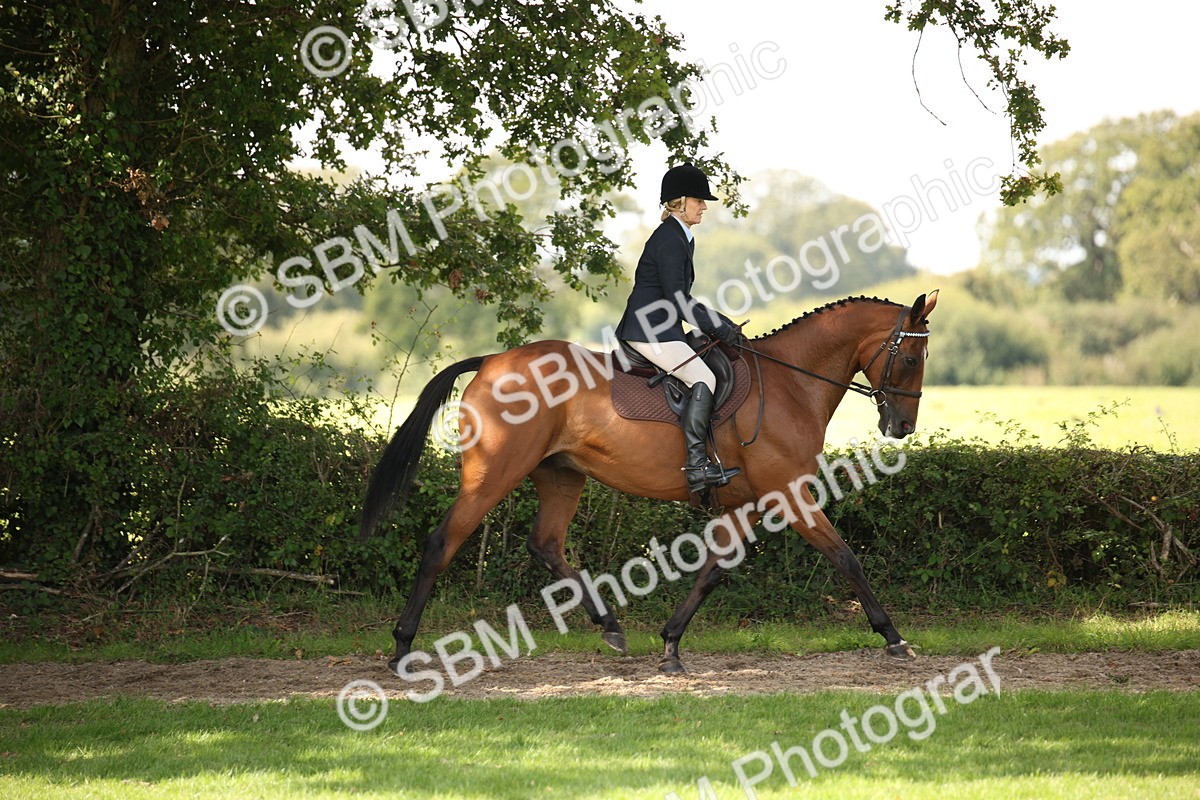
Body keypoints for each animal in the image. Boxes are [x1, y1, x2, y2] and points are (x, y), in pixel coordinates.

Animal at [360, 291, 939, 674]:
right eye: (910, 358)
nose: (902, 427)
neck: (792, 382)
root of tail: (492, 361)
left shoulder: (749, 502)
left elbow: (714, 571)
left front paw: (670, 644)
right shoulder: (790, 495)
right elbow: (846, 558)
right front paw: (894, 638)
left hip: (561, 475)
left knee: (545, 544)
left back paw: (612, 628)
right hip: (493, 473)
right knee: (443, 543)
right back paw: (402, 648)